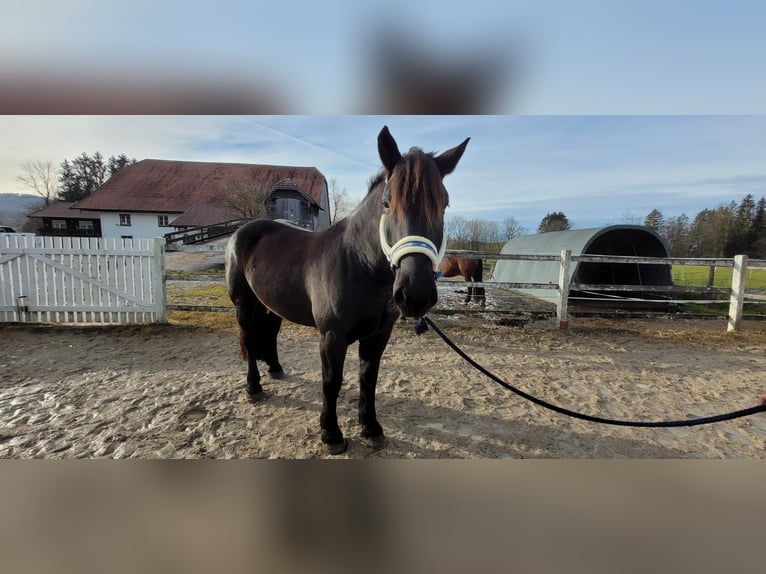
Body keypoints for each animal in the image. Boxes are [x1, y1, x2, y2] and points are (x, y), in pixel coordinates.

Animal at [225, 126, 472, 454]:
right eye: (386, 203)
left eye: (443, 204)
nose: (415, 293)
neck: (357, 263)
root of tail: (241, 232)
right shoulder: (332, 337)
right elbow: (332, 382)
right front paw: (331, 434)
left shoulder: (378, 335)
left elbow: (369, 379)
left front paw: (371, 428)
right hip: (244, 303)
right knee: (249, 339)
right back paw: (253, 387)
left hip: (271, 305)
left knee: (270, 333)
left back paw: (276, 369)